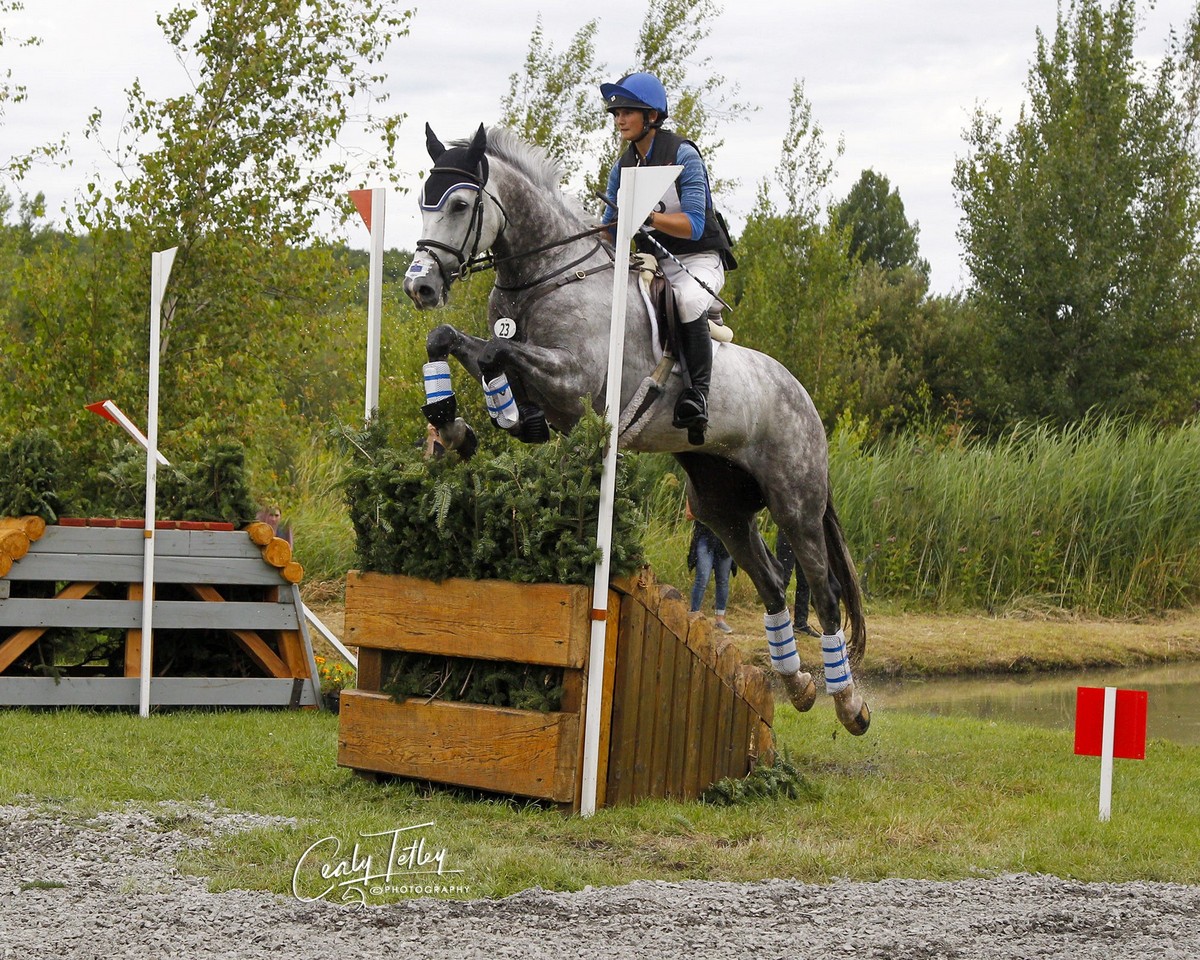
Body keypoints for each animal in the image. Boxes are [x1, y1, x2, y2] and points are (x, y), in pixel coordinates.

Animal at [403, 121, 873, 734]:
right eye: (423, 201)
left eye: (459, 205)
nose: (420, 287)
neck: (546, 277)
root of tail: (802, 397)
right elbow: (456, 343)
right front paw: (453, 424)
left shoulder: (573, 382)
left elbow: (494, 352)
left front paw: (483, 413)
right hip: (721, 504)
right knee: (771, 581)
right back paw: (797, 687)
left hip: (795, 501)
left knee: (824, 591)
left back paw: (849, 704)